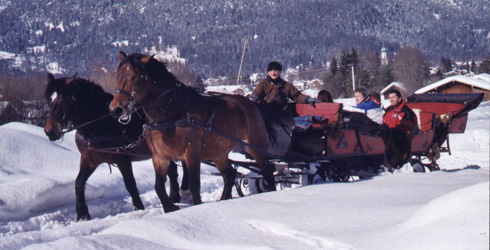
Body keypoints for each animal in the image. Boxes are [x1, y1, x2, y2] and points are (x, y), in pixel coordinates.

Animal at [43, 73, 186, 221]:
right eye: (48, 99)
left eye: (63, 99)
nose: (50, 131)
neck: (101, 123)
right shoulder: (90, 160)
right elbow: (79, 183)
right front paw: (82, 214)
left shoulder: (122, 159)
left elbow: (130, 183)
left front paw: (138, 207)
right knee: (172, 170)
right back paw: (174, 197)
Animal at [108, 51, 276, 212]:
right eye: (117, 75)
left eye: (134, 76)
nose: (116, 109)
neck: (171, 115)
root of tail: (251, 104)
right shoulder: (160, 156)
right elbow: (159, 187)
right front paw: (171, 208)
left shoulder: (191, 154)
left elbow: (194, 185)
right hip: (219, 153)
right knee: (229, 175)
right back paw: (223, 200)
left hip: (255, 147)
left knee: (267, 173)